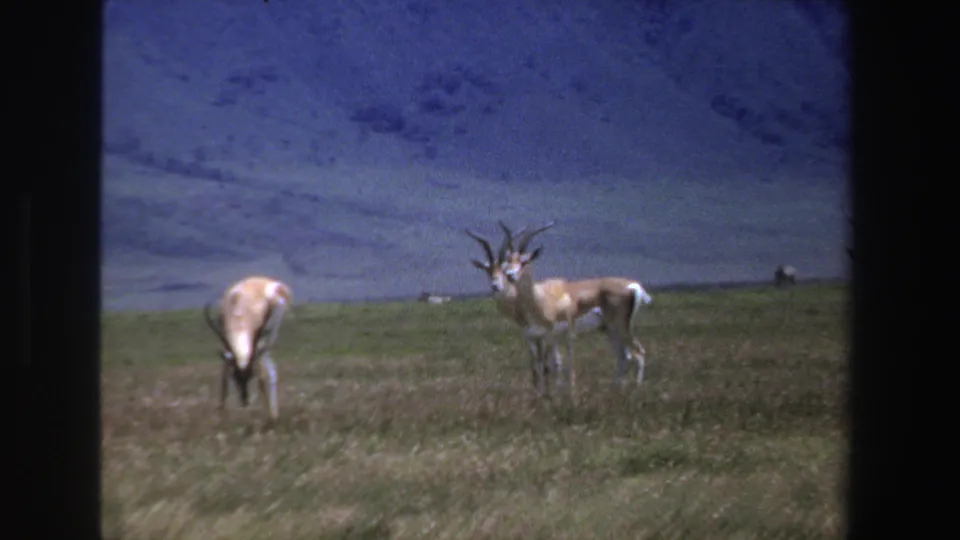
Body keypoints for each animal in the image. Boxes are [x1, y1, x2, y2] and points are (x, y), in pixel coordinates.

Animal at [203, 276, 292, 422]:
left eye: (251, 376)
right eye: (235, 376)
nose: (245, 400)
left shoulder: (258, 339)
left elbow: (261, 378)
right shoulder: (226, 337)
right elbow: (224, 376)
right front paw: (221, 414)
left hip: (270, 335)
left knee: (270, 372)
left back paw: (273, 415)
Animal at [499, 221, 653, 392]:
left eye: (524, 261)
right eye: (509, 260)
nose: (510, 275)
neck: (539, 298)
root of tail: (633, 286)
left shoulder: (553, 334)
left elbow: (552, 364)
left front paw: (558, 392)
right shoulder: (533, 336)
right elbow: (540, 364)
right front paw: (541, 393)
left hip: (620, 327)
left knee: (638, 353)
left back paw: (636, 389)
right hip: (609, 329)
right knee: (624, 356)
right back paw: (615, 389)